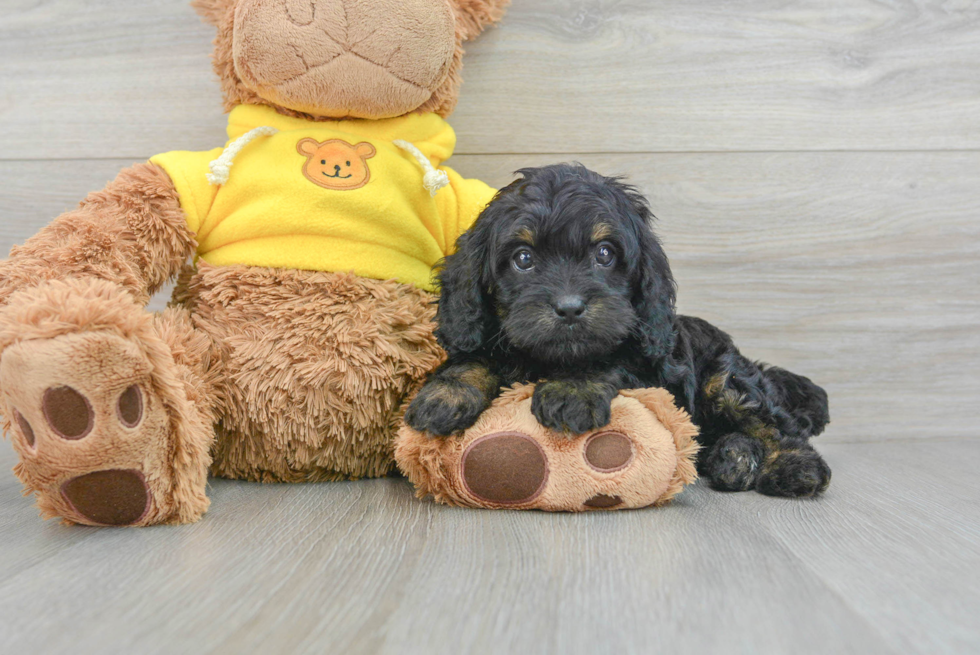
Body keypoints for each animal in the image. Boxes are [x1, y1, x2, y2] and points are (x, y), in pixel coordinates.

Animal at [410, 164, 832, 498]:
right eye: (523, 259)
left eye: (604, 253)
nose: (569, 307)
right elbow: (474, 357)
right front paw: (445, 394)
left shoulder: (649, 363)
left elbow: (610, 358)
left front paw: (571, 390)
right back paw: (733, 458)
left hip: (725, 379)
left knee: (773, 423)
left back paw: (793, 466)